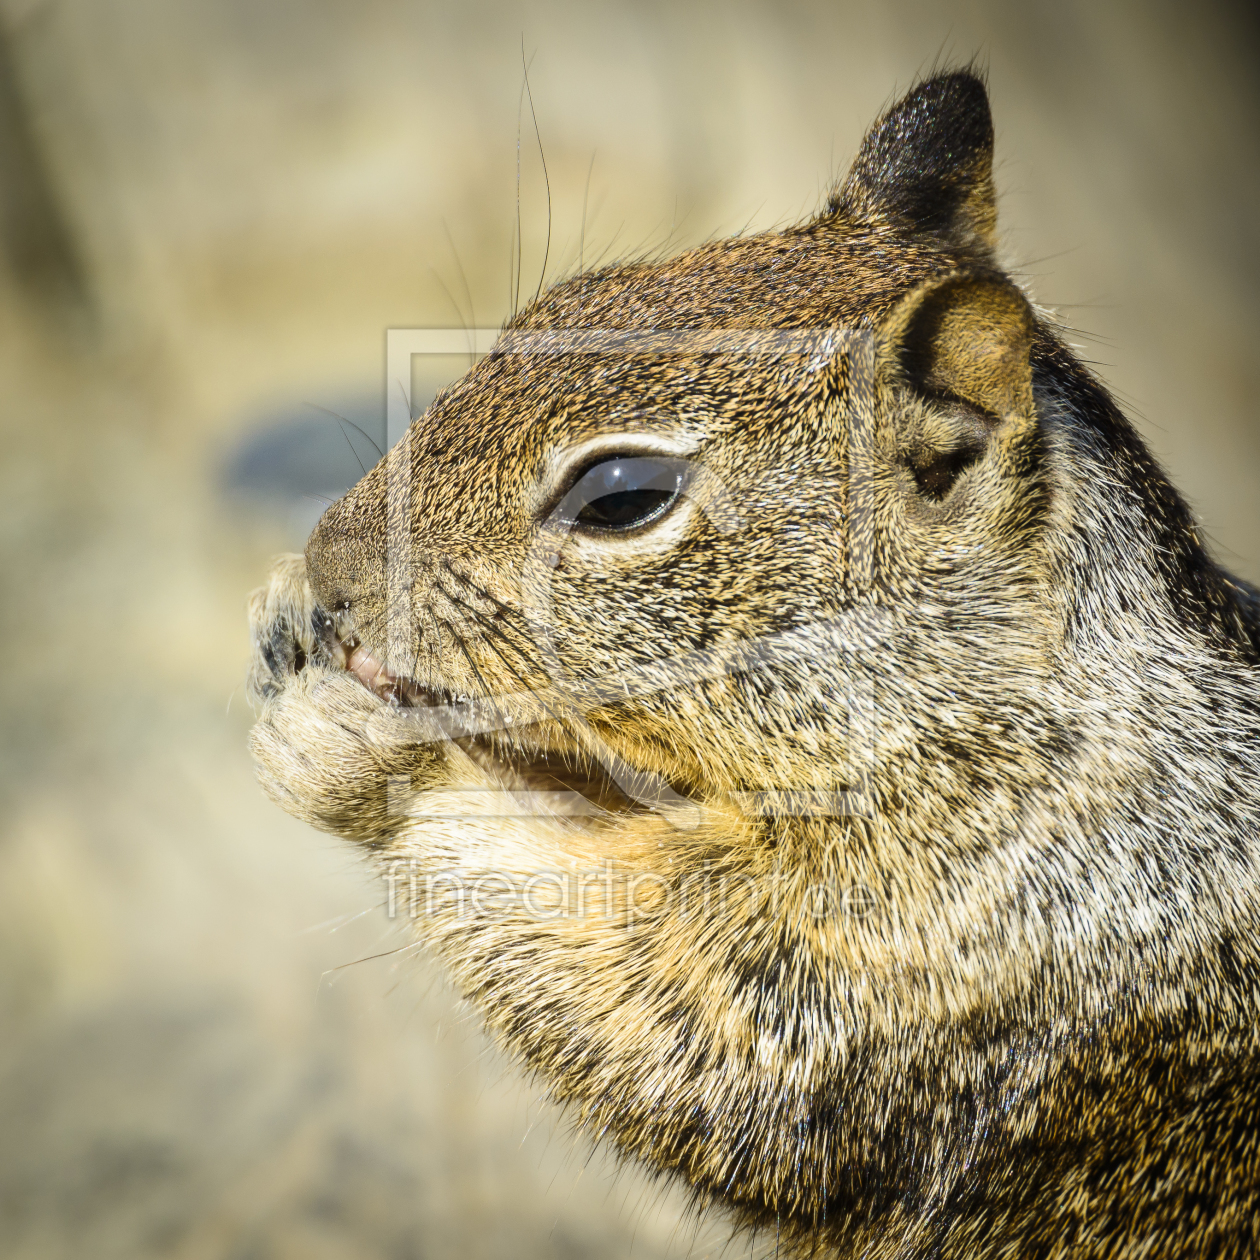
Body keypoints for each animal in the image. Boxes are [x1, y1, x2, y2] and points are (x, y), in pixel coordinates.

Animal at [245, 71, 1260, 1260]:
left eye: (623, 497)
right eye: (564, 301)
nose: (330, 568)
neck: (1011, 728)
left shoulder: (895, 970)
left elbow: (638, 997)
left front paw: (350, 746)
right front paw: (284, 625)